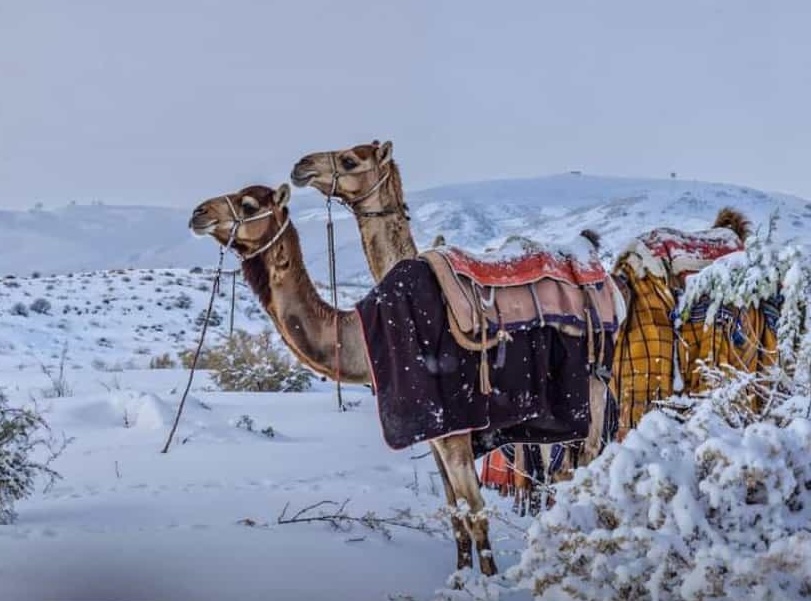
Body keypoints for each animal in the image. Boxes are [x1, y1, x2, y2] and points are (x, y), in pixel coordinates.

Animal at [190, 182, 504, 576]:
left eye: (247, 205)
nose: (198, 213)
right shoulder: (437, 430)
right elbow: (455, 514)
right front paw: (459, 581)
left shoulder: (455, 429)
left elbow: (477, 515)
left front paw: (490, 584)